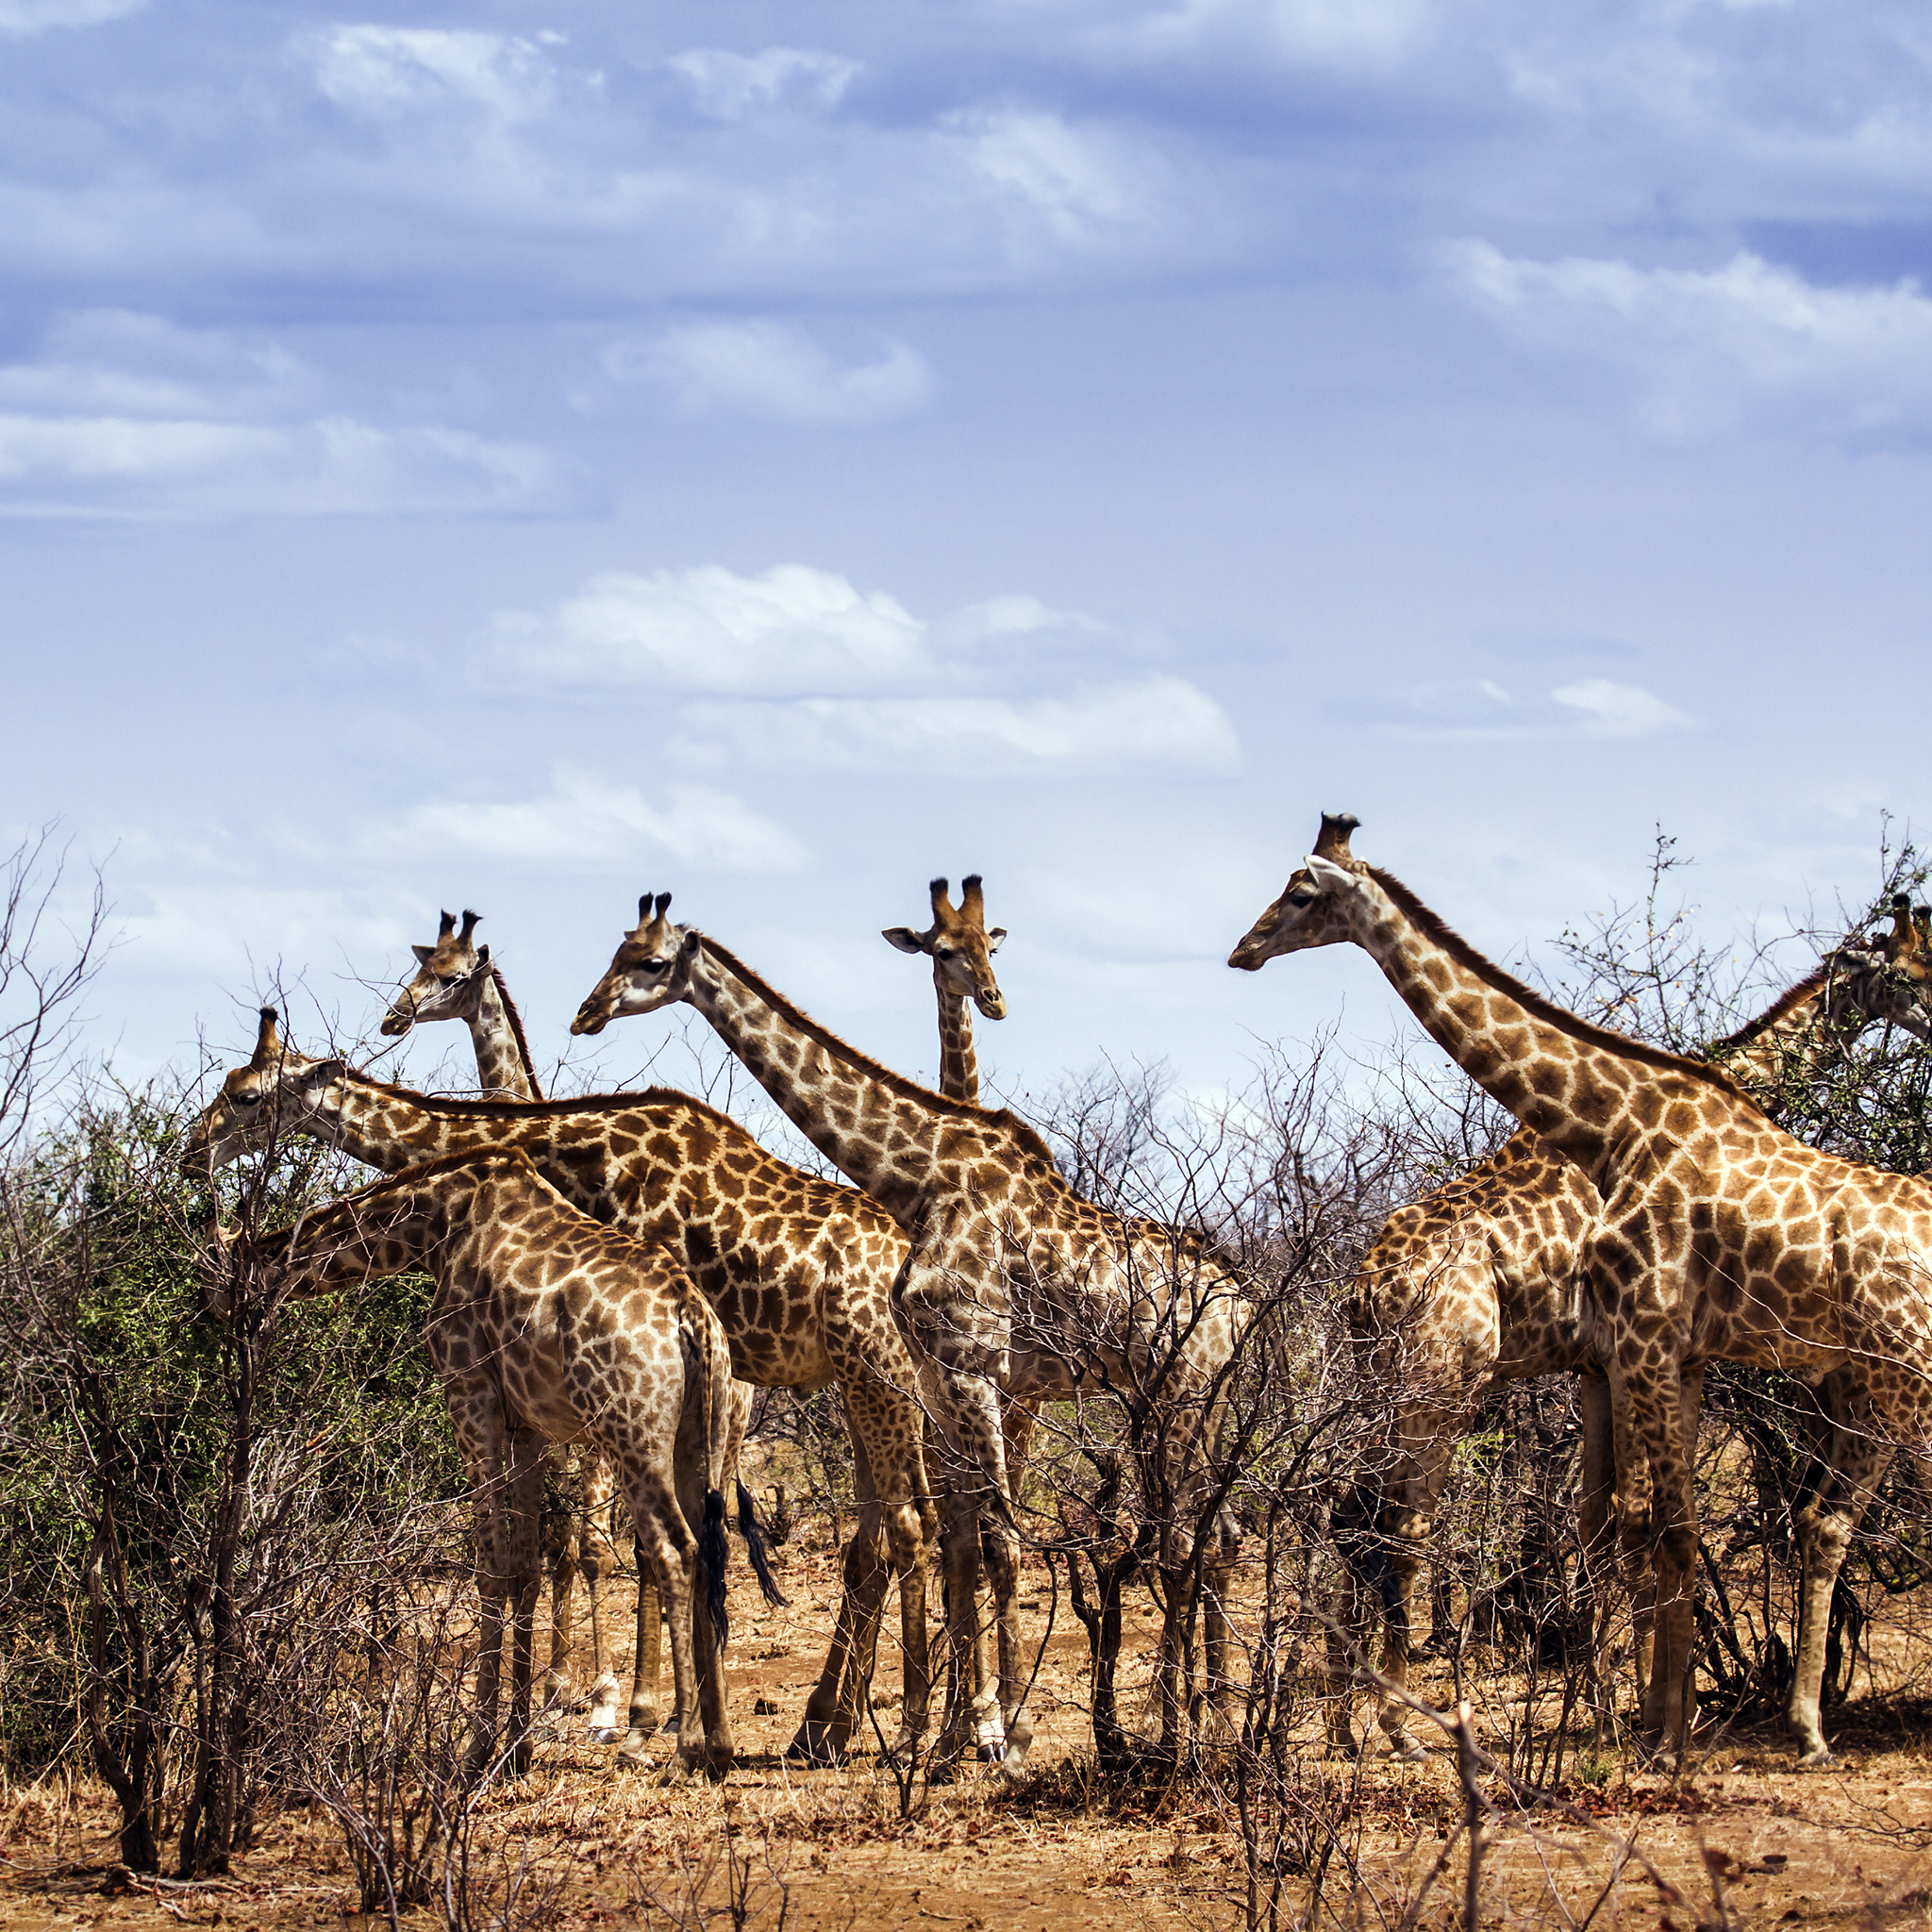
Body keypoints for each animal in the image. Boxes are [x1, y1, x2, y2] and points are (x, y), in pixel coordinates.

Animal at [204, 1149, 736, 1782]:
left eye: (218, 1271)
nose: (218, 1319)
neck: (435, 1224)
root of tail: (691, 1316)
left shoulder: (469, 1394)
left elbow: (491, 1569)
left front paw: (479, 1748)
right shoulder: (526, 1425)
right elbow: (526, 1568)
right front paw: (520, 1743)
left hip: (630, 1432)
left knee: (674, 1550)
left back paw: (675, 1746)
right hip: (700, 1438)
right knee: (708, 1547)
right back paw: (719, 1742)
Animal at [379, 908, 625, 1730]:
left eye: (454, 974)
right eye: (418, 965)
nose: (394, 1016)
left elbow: (577, 1545)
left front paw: (596, 1690)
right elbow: (547, 1545)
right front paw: (551, 1685)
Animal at [570, 895, 1247, 1773]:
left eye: (650, 963)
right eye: (618, 949)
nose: (586, 1013)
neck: (920, 1177)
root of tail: (1245, 1302)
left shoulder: (974, 1367)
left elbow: (997, 1542)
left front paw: (1002, 1734)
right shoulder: (940, 1376)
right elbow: (961, 1541)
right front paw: (956, 1735)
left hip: (1184, 1398)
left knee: (1185, 1539)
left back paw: (1178, 1728)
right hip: (1196, 1402)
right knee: (1213, 1534)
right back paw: (1212, 1720)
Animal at [1231, 813, 1932, 1764]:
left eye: (1300, 892)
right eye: (1912, 971)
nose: (1245, 950)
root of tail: (1364, 1286)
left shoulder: (1607, 1363)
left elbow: (1609, 1524)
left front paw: (1616, 1709)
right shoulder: (1621, 1352)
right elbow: (1631, 1525)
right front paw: (1631, 1712)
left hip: (1391, 1382)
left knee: (1354, 1515)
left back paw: (1350, 1720)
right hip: (1441, 1382)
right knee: (1398, 1525)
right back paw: (1392, 1724)